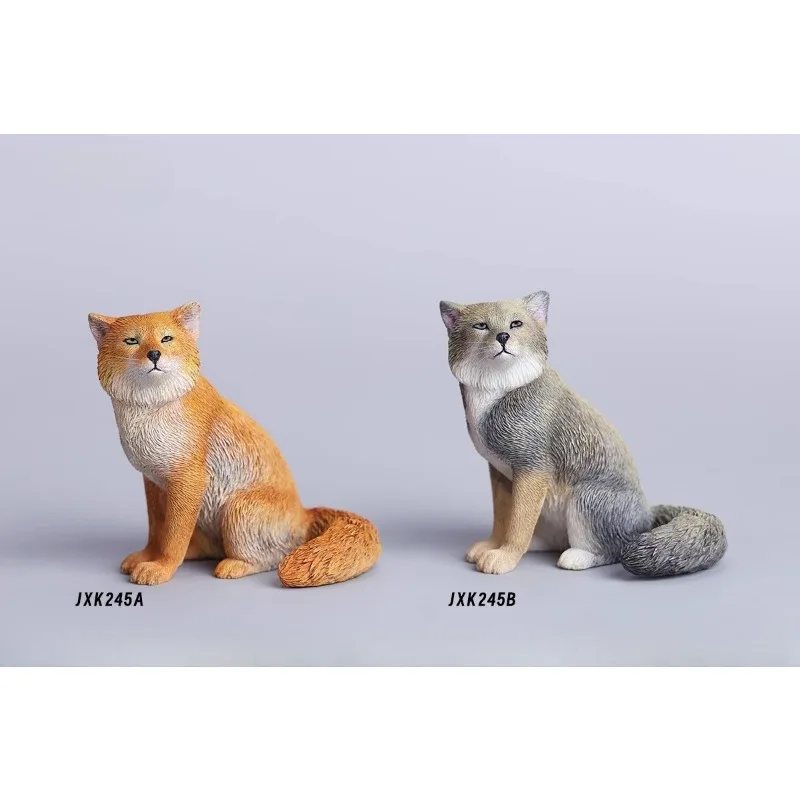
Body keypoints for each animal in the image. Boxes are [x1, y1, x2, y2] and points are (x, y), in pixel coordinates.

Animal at [88, 301, 381, 588]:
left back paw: (234, 565)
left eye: (166, 338)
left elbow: (173, 537)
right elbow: (158, 530)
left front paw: (161, 567)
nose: (154, 354)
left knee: (270, 557)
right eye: (131, 341)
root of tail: (304, 514)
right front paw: (147, 557)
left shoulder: (188, 481)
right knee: (209, 548)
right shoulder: (154, 482)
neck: (152, 409)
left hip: (237, 509)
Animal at [439, 290, 727, 578]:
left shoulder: (532, 469)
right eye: (481, 326)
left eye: (516, 324)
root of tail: (646, 515)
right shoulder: (500, 473)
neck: (500, 390)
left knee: (612, 550)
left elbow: (518, 525)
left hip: (585, 497)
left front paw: (505, 557)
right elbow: (503, 519)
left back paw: (578, 557)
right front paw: (492, 545)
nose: (502, 337)